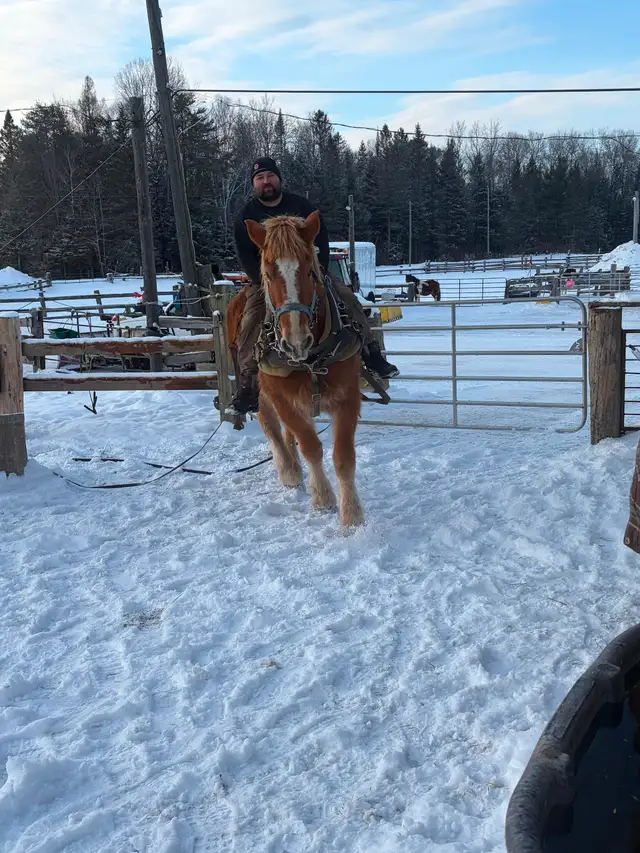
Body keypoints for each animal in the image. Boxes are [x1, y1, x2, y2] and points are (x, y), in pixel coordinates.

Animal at [225, 211, 364, 528]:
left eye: (311, 272)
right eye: (267, 275)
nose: (296, 341)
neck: (310, 360)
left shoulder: (348, 397)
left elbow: (343, 457)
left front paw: (351, 514)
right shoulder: (280, 397)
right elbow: (310, 446)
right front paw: (323, 498)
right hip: (258, 391)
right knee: (271, 427)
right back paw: (288, 469)